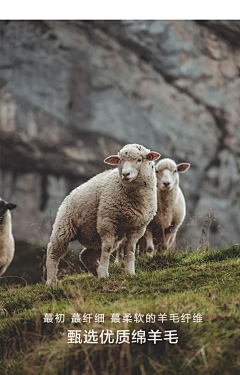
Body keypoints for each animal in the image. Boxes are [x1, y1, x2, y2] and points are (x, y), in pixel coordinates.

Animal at [46, 145, 160, 284]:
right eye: (120, 160)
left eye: (139, 159)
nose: (125, 174)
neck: (134, 199)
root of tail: (71, 193)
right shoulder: (107, 220)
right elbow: (107, 248)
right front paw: (104, 275)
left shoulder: (138, 226)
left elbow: (131, 248)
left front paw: (130, 273)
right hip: (64, 226)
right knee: (53, 252)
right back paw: (51, 282)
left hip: (94, 235)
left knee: (85, 256)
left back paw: (96, 271)